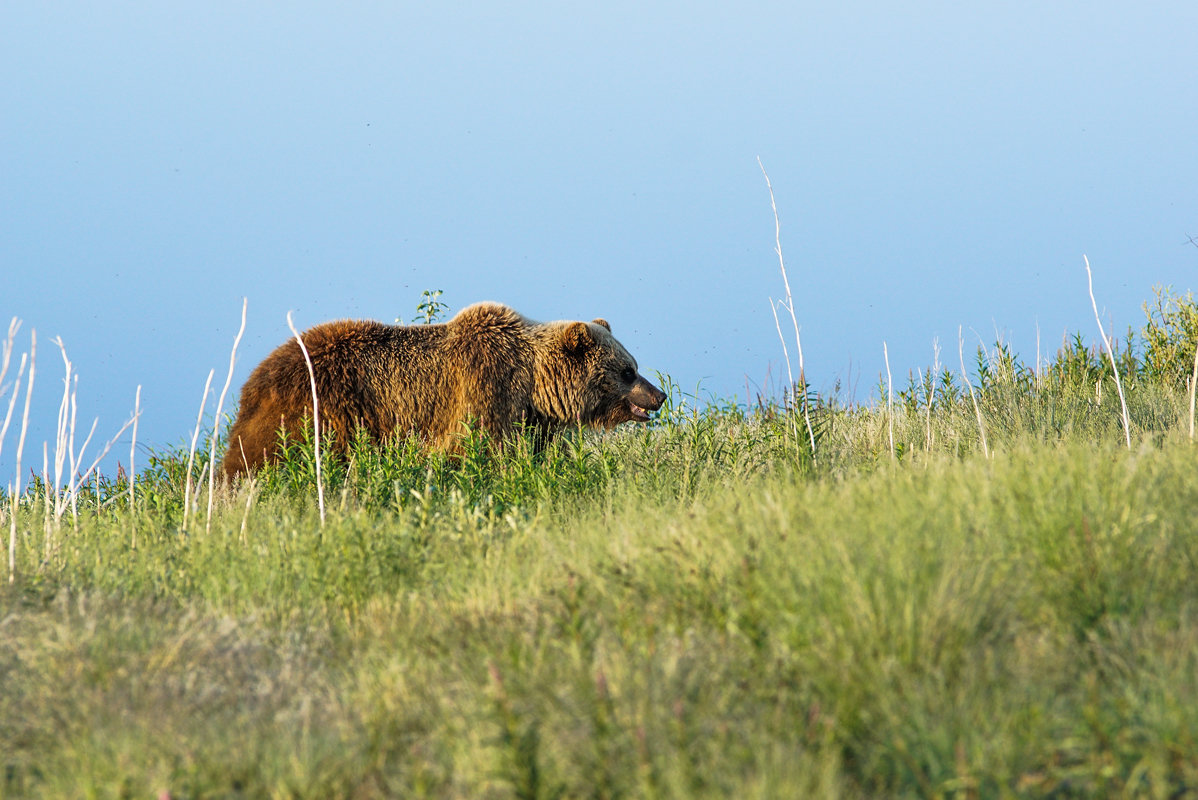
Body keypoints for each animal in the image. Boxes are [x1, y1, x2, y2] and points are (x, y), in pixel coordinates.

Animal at [216, 301, 666, 481]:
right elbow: (476, 450)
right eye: (628, 371)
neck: (534, 384)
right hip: (319, 412)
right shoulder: (485, 389)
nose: (659, 395)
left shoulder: (529, 419)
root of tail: (253, 381)